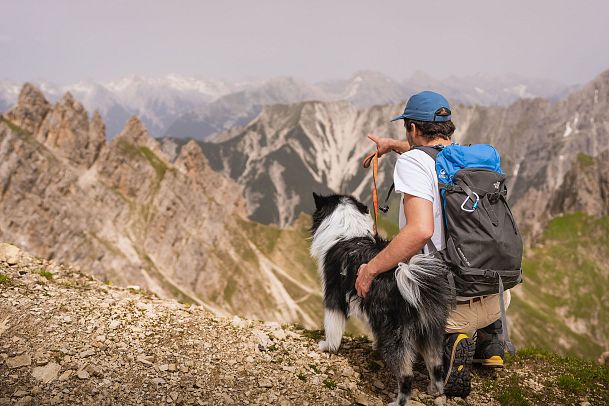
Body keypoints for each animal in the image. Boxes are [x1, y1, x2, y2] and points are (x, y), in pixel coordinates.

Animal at [308, 193, 452, 406]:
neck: (347, 230)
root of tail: (407, 276)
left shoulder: (334, 293)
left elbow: (333, 325)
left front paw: (327, 346)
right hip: (430, 327)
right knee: (436, 364)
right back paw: (435, 390)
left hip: (395, 331)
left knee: (406, 374)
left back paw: (399, 400)